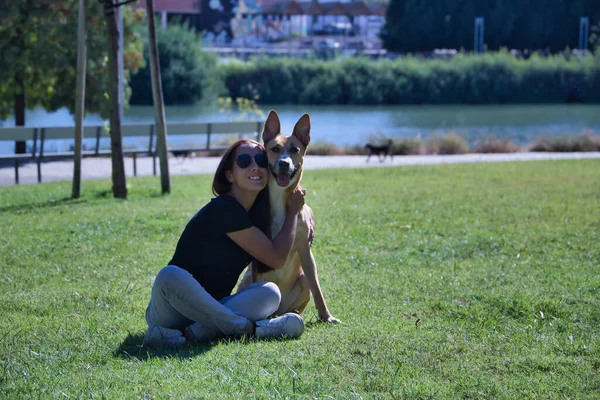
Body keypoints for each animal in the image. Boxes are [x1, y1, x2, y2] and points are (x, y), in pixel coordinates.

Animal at [239, 111, 342, 324]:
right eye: (275, 149)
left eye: (295, 149)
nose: (284, 163)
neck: (280, 199)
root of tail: (277, 309)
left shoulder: (305, 249)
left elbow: (318, 289)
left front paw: (326, 316)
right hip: (246, 278)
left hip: (302, 279)